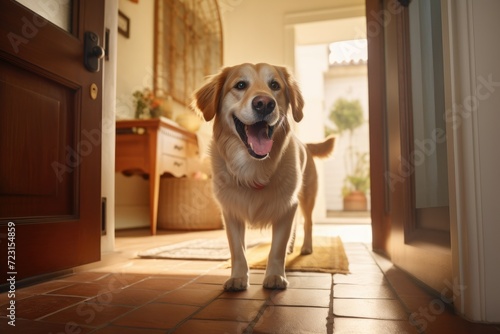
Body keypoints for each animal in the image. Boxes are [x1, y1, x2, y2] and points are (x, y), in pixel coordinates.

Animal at [193, 64, 334, 290]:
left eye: (275, 85)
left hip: (306, 197)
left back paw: (305, 247)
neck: (253, 167)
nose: (264, 104)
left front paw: (275, 276)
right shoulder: (230, 211)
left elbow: (277, 247)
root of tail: (305, 144)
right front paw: (238, 277)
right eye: (240, 85)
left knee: (307, 223)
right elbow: (237, 250)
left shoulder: (287, 206)